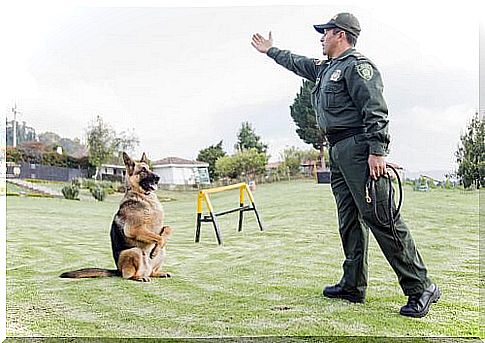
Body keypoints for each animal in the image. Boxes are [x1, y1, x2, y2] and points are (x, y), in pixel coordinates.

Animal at [59, 153, 172, 282]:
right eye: (143, 170)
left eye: (149, 169)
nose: (158, 178)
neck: (143, 197)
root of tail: (118, 270)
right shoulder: (134, 229)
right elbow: (159, 238)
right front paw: (155, 250)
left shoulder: (160, 228)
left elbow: (167, 230)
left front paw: (158, 247)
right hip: (135, 251)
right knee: (128, 276)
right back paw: (139, 277)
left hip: (162, 253)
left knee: (152, 270)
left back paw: (157, 273)